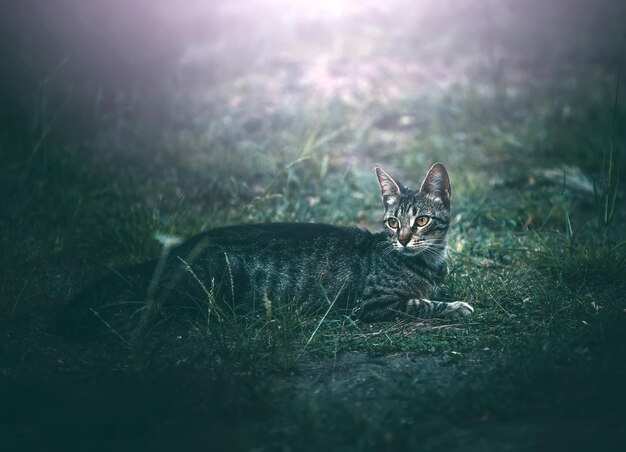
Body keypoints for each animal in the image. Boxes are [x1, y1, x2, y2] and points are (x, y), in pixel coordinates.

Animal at [58, 162, 470, 340]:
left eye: (421, 221)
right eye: (393, 223)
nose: (403, 240)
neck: (428, 264)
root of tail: (182, 247)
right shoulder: (369, 305)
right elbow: (419, 302)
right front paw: (453, 306)